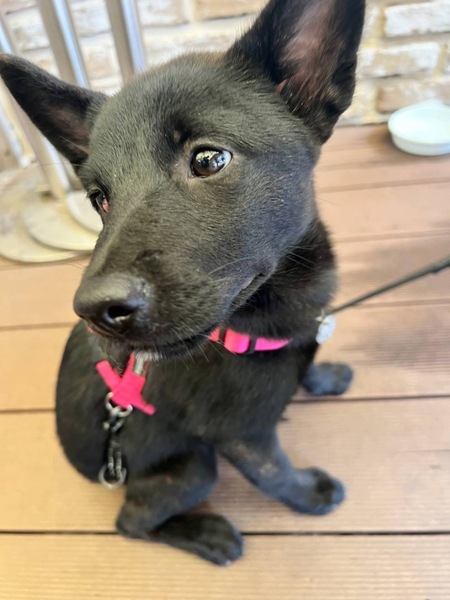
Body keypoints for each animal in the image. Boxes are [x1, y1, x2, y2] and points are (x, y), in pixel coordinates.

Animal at [0, 0, 365, 565]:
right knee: (132, 522)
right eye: (100, 199)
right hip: (195, 467)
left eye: (209, 159)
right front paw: (309, 494)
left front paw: (320, 375)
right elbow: (274, 473)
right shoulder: (241, 436)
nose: (95, 312)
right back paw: (205, 534)